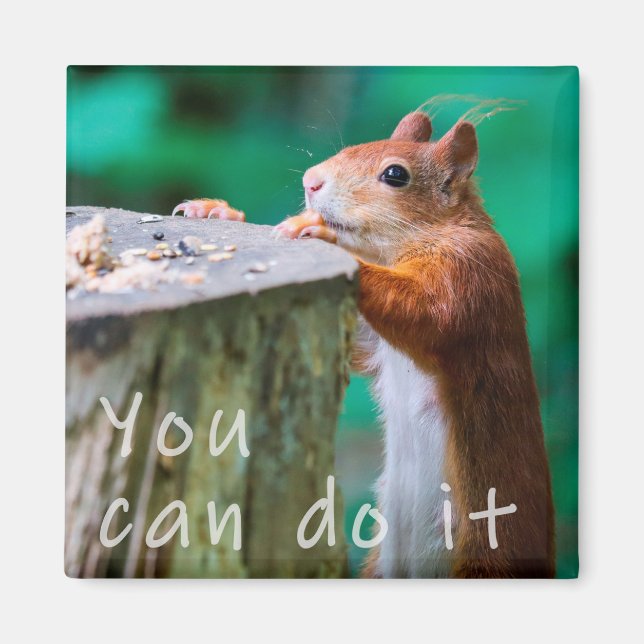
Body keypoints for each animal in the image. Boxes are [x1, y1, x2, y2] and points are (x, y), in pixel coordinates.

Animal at [173, 111, 555, 578]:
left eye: (395, 175)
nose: (311, 181)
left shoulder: (471, 275)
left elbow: (428, 314)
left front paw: (318, 234)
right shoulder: (376, 345)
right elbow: (363, 344)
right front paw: (220, 211)